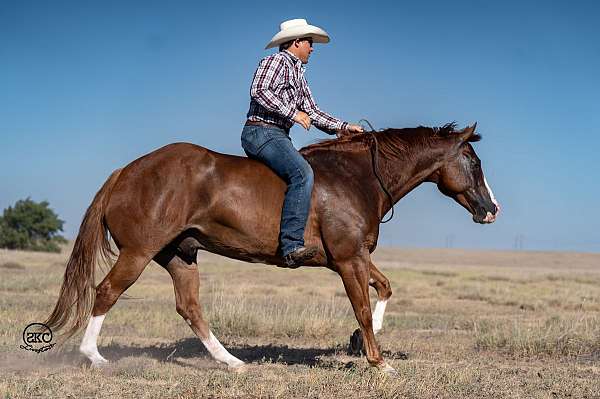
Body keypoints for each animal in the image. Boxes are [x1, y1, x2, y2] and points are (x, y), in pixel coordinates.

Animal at [45, 122, 496, 376]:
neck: (357, 178)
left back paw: (232, 363)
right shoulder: (348, 259)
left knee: (190, 308)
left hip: (180, 256)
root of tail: (125, 172)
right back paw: (94, 357)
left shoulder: (354, 257)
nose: (491, 210)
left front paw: (357, 343)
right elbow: (364, 309)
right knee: (106, 292)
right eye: (473, 161)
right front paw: (378, 362)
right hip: (138, 252)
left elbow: (383, 290)